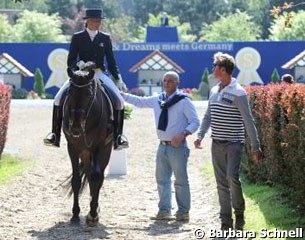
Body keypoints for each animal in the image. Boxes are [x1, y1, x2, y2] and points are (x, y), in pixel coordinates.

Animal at [62, 66, 113, 227]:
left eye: (89, 94)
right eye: (70, 92)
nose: (76, 128)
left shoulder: (102, 147)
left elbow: (97, 178)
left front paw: (93, 215)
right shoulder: (72, 147)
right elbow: (76, 180)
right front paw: (75, 214)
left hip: (101, 151)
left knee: (97, 176)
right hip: (84, 152)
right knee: (89, 176)